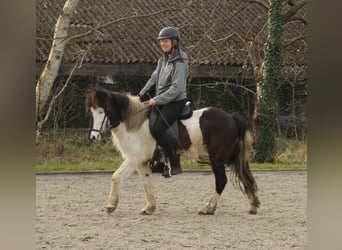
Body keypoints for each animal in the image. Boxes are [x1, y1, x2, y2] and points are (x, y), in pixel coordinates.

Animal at [85, 86, 260, 215]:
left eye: (101, 111)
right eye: (91, 111)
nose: (93, 137)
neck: (134, 123)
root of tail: (231, 117)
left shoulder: (134, 159)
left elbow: (116, 177)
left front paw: (111, 205)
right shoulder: (142, 161)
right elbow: (146, 184)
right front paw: (150, 207)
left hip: (217, 158)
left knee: (221, 181)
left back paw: (208, 208)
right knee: (243, 175)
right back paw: (252, 205)